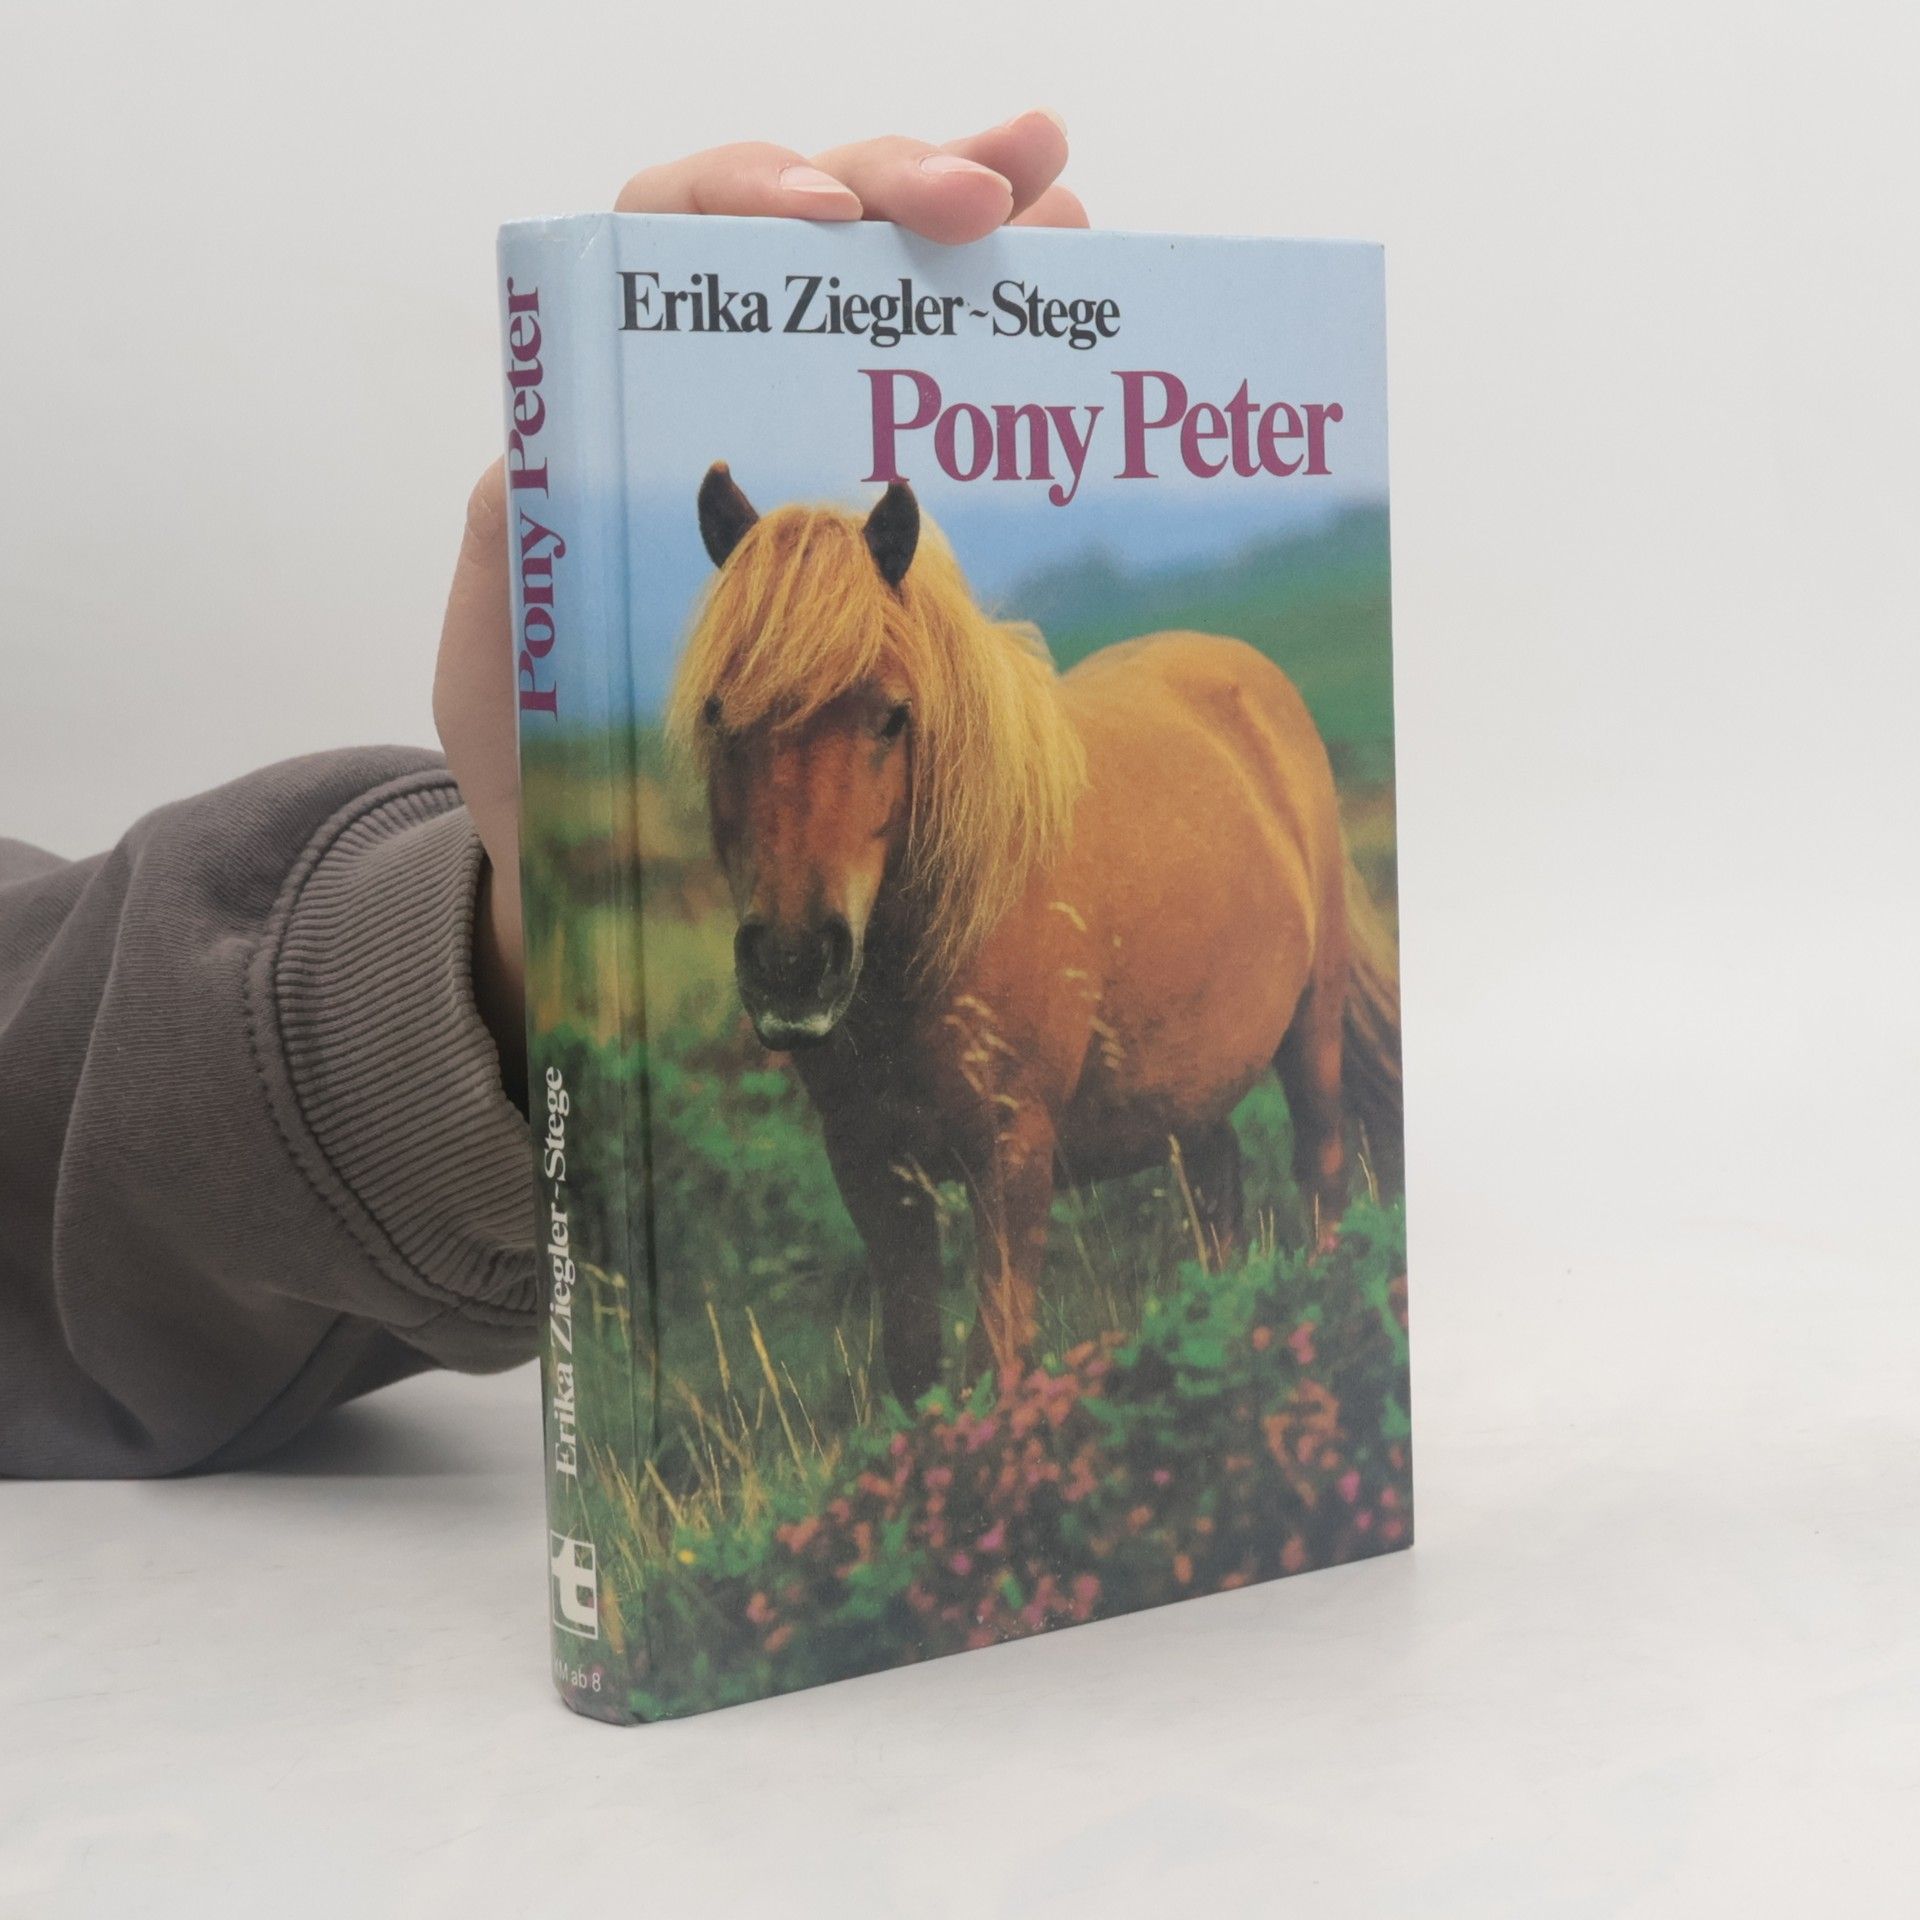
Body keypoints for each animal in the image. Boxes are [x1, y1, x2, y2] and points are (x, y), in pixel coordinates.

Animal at [669, 462, 1402, 1403]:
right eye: (718, 714)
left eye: (892, 714)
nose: (793, 963)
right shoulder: (870, 1168)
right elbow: (914, 1365)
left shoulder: (1010, 1157)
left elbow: (997, 1356)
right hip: (1188, 1086)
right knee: (1219, 1189)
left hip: (1313, 1032)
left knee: (1323, 1178)